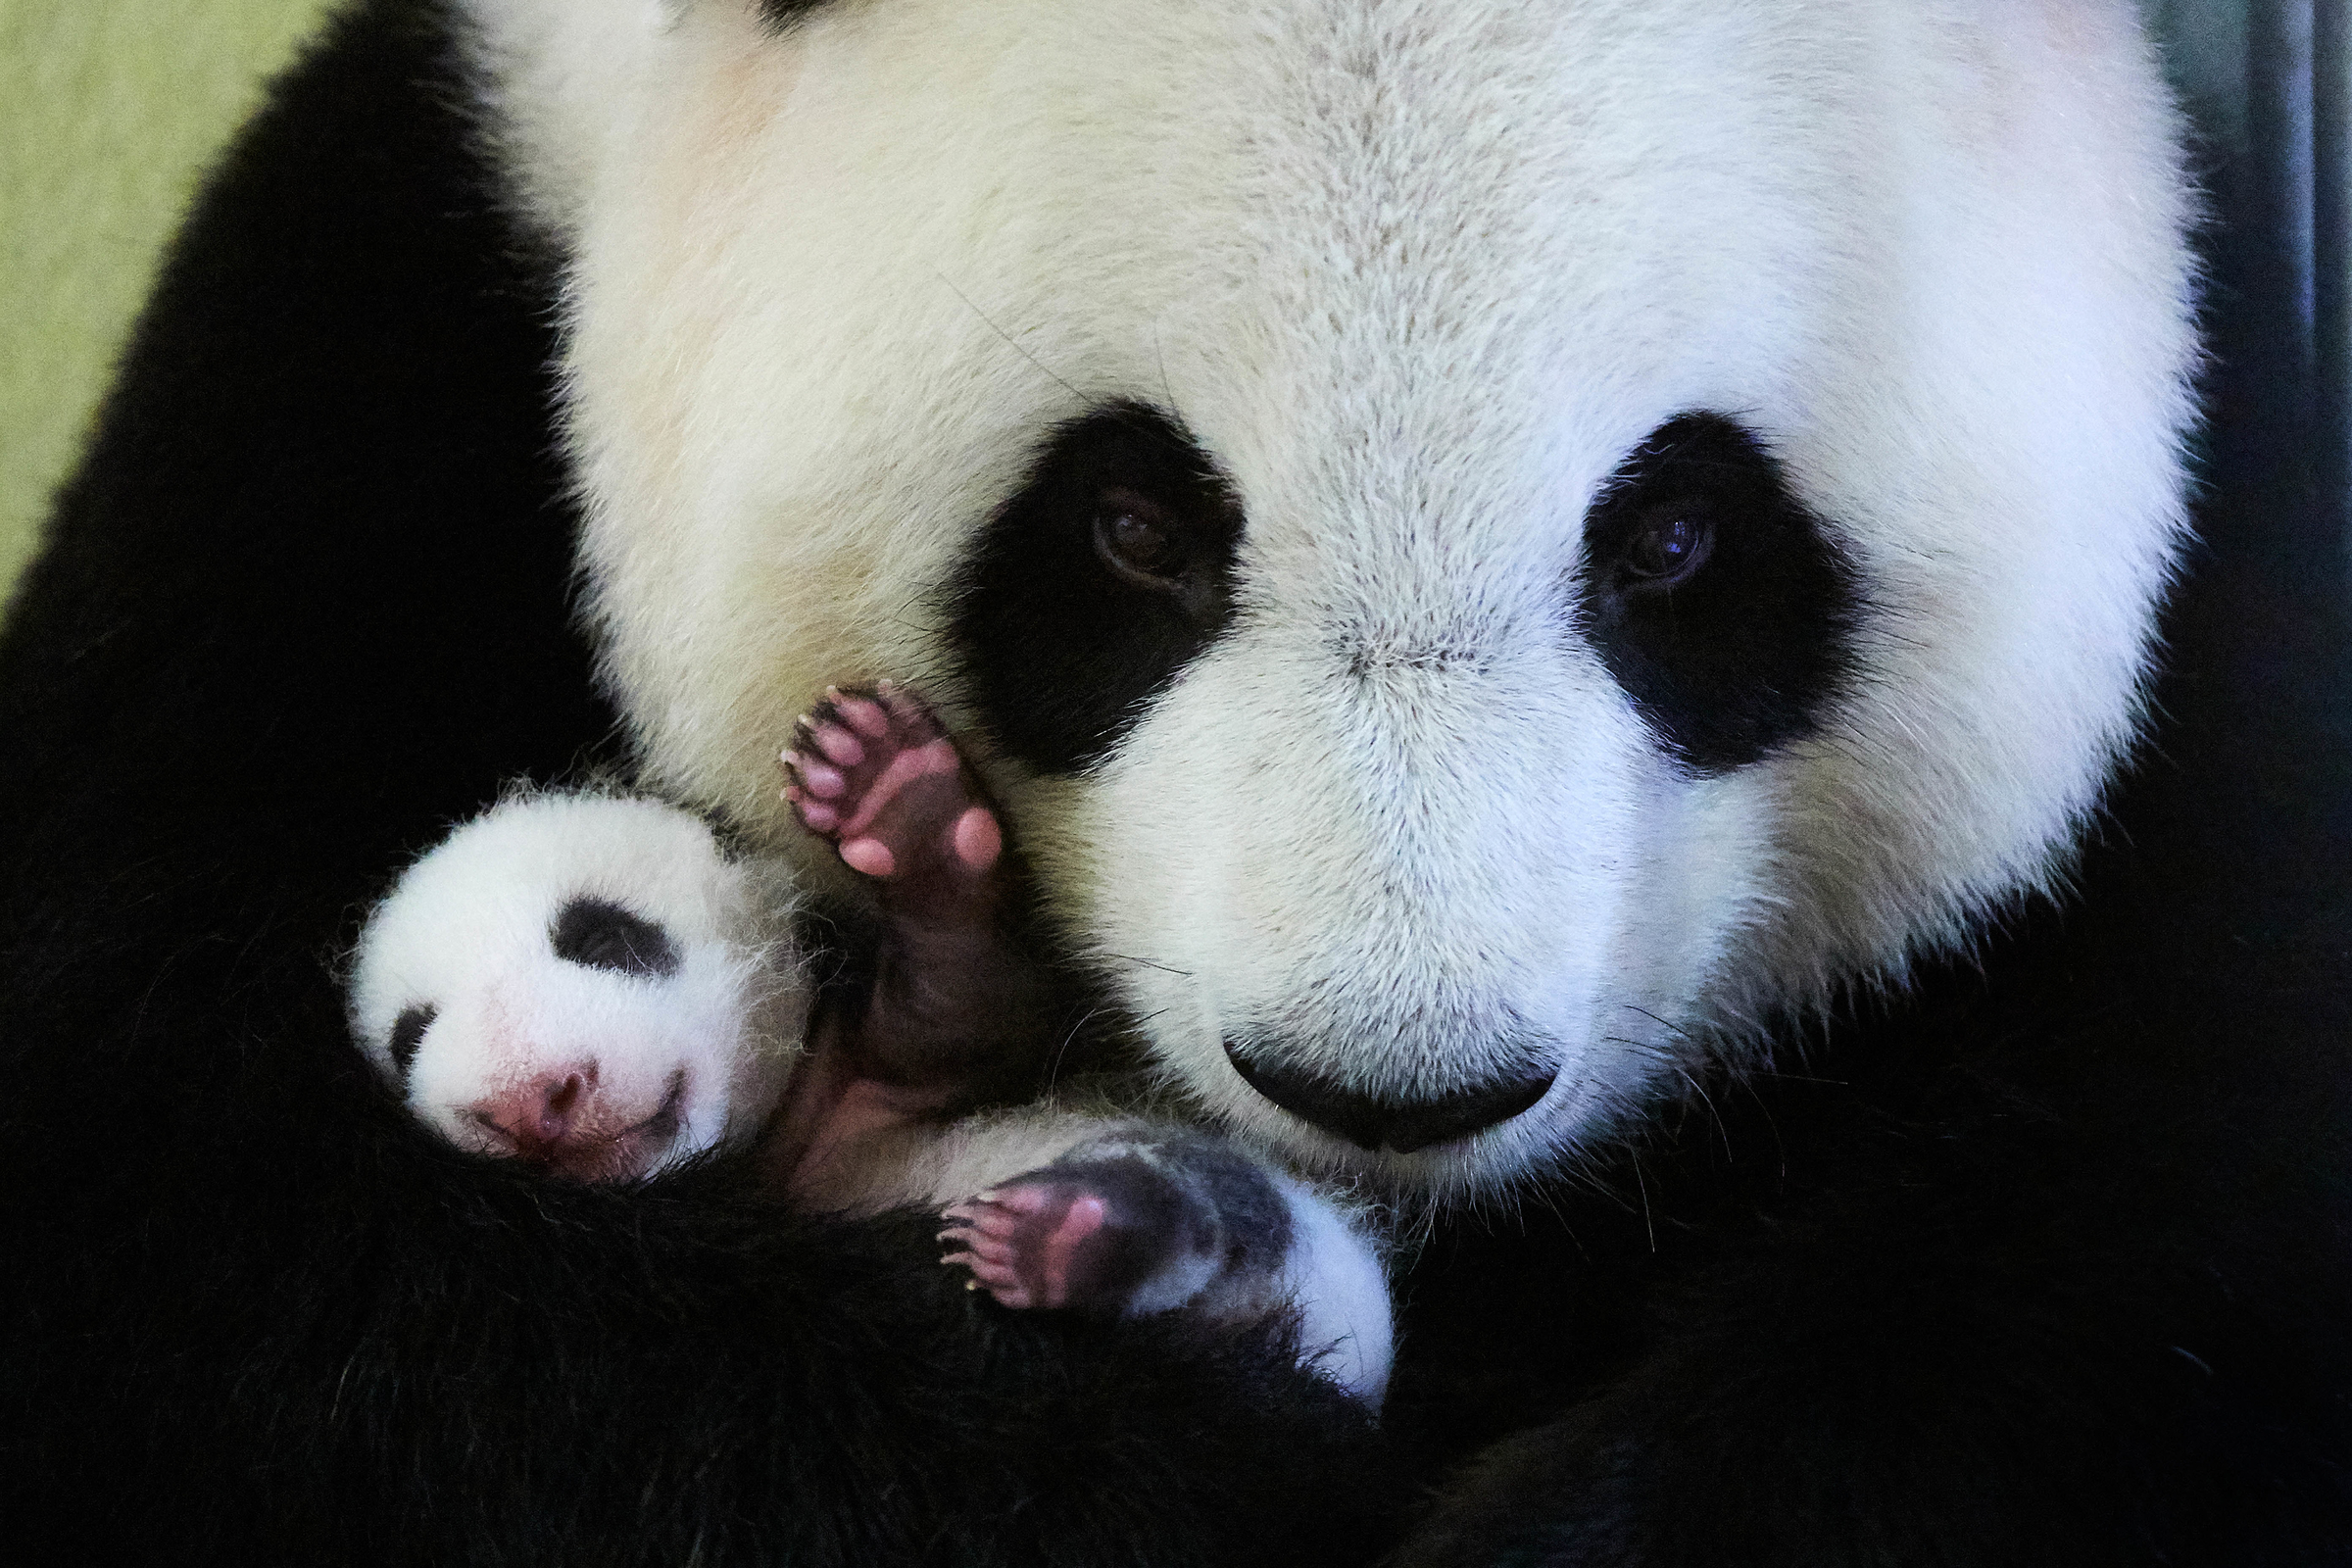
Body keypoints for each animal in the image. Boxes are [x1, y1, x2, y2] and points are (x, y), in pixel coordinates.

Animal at [3, 0, 2348, 1563]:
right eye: (1135, 524)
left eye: (1677, 536)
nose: (1389, 1085)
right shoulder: (356, 383)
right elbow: (269, 1257)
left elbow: (2114, 1266)